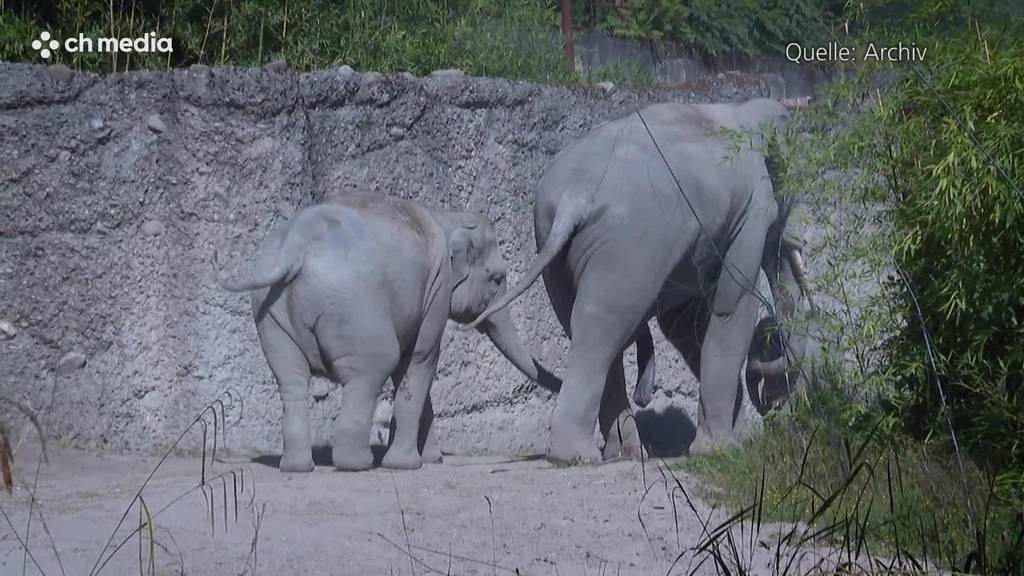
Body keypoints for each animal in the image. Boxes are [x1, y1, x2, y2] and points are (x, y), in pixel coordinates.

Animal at [210, 192, 557, 471]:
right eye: (497, 278)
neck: (448, 216)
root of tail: (295, 248)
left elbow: (410, 369)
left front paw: (431, 460)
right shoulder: (437, 288)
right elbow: (420, 359)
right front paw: (407, 465)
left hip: (270, 314)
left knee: (290, 378)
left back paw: (296, 467)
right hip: (353, 310)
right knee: (372, 368)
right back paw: (356, 463)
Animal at [468, 96, 815, 459]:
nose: (781, 410)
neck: (744, 111)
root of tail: (575, 194)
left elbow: (683, 323)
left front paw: (733, 439)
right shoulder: (750, 209)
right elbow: (730, 306)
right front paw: (721, 450)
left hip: (553, 239)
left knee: (588, 325)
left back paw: (622, 452)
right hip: (631, 241)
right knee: (604, 325)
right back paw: (576, 455)